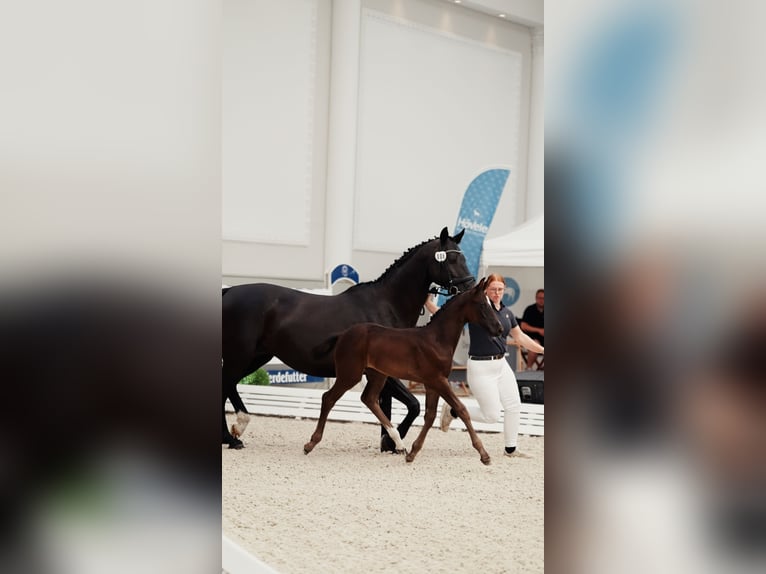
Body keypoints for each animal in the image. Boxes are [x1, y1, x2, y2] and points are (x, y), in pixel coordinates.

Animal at [222, 227, 474, 449]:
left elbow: (399, 405)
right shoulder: (384, 371)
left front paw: (389, 443)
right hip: (241, 355)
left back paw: (235, 433)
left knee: (228, 384)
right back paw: (234, 436)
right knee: (226, 383)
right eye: (451, 259)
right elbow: (412, 404)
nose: (472, 288)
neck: (387, 305)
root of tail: (228, 291)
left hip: (256, 356)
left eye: (463, 258)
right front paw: (392, 441)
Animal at [302, 277, 502, 465]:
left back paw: (398, 443)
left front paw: (413, 453)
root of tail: (344, 334)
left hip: (378, 375)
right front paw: (484, 455)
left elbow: (429, 416)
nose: (499, 329)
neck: (437, 340)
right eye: (483, 305)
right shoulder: (439, 381)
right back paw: (310, 443)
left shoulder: (432, 384)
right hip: (350, 374)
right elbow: (461, 410)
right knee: (328, 398)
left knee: (369, 399)